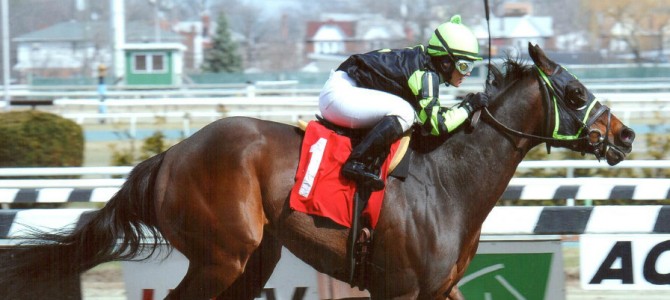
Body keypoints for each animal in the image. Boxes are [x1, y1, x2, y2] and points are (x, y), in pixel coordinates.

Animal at [0, 43, 636, 298]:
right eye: (576, 94)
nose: (625, 135)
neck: (448, 184)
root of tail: (168, 156)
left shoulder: (438, 290)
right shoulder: (398, 290)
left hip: (251, 259)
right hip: (221, 256)